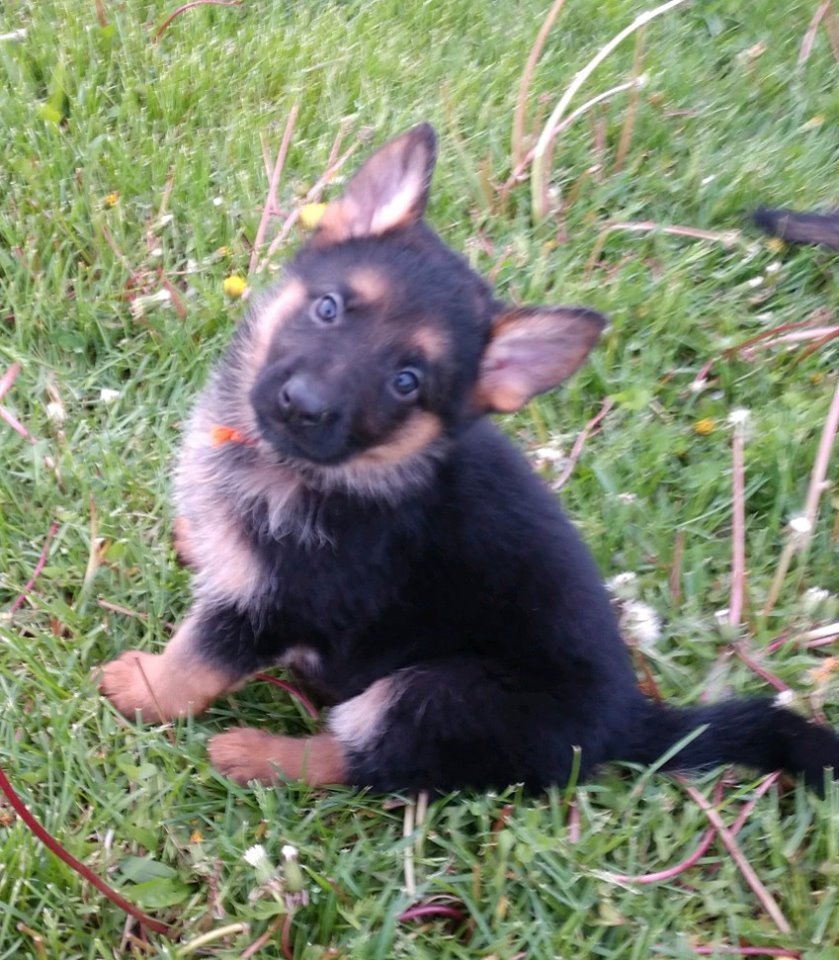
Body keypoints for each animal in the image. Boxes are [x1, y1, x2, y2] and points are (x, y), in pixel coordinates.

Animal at [101, 124, 839, 792]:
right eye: (328, 308)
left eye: (407, 382)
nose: (302, 406)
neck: (329, 471)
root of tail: (628, 723)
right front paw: (198, 539)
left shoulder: (281, 602)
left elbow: (199, 657)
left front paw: (144, 689)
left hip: (433, 694)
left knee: (363, 764)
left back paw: (256, 755)